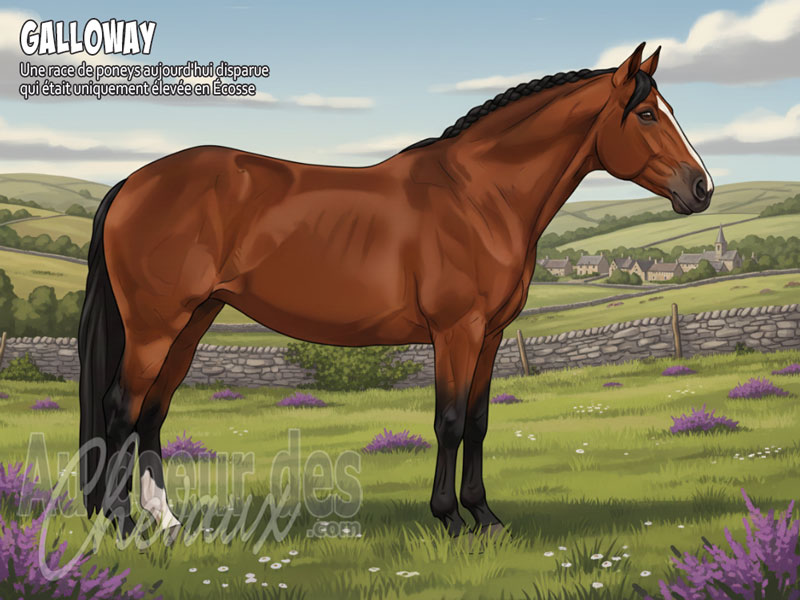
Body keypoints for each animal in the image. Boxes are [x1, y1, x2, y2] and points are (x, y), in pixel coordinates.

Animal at [78, 42, 713, 539]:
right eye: (648, 114)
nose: (702, 188)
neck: (479, 197)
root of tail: (132, 182)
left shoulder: (490, 336)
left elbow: (479, 421)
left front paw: (486, 518)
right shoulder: (456, 332)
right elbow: (450, 420)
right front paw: (449, 518)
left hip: (193, 320)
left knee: (153, 412)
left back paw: (167, 520)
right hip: (155, 326)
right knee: (121, 408)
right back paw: (122, 523)